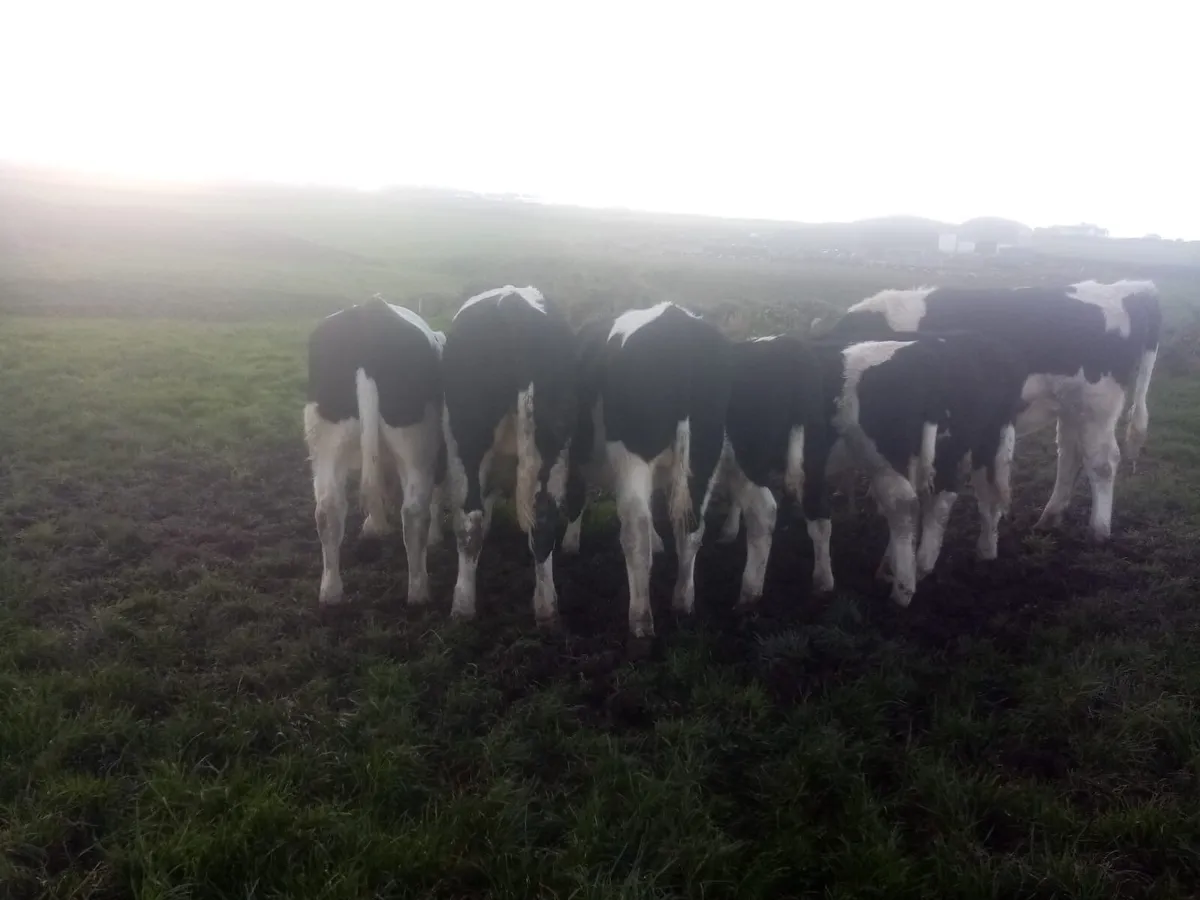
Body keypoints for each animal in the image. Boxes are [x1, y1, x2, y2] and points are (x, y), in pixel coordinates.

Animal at [303, 296, 446, 607]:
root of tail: (371, 315)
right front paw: (436, 539)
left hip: (327, 441)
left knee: (327, 510)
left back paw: (330, 592)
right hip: (417, 443)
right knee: (414, 512)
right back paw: (419, 591)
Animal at [441, 285, 578, 627]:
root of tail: (514, 307)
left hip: (466, 445)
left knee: (471, 520)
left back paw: (463, 606)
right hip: (548, 448)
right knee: (542, 520)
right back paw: (545, 610)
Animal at [564, 302, 733, 639]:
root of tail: (679, 329)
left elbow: (577, 497)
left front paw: (569, 544)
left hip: (633, 456)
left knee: (635, 534)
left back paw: (641, 621)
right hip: (705, 453)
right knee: (692, 529)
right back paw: (683, 601)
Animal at [720, 331, 1025, 607]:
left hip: (880, 458)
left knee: (904, 505)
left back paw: (903, 587)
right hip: (974, 445)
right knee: (967, 495)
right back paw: (977, 552)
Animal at [818, 280, 1161, 542]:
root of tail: (1123, 289)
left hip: (1097, 405)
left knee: (1103, 463)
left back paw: (1099, 530)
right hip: (1072, 407)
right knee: (1070, 456)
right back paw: (1050, 517)